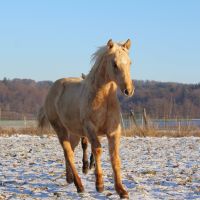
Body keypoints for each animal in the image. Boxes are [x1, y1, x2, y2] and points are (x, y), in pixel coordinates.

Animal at [37, 39, 134, 198]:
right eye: (114, 64)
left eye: (130, 63)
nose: (128, 90)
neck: (103, 98)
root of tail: (53, 88)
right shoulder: (90, 129)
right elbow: (97, 150)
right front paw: (99, 185)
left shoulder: (114, 132)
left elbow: (115, 157)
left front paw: (121, 191)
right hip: (60, 129)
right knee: (68, 152)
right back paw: (79, 186)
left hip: (74, 133)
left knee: (70, 149)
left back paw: (70, 178)